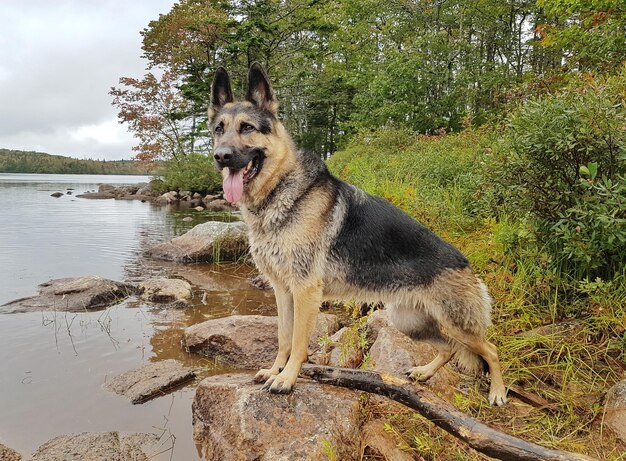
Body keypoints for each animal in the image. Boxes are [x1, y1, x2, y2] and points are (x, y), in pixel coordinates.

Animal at [210, 63, 508, 402]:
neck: (281, 190)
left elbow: (298, 343)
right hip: (409, 322)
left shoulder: (305, 291)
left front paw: (286, 379)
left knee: (491, 349)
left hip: (454, 323)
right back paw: (424, 372)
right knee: (451, 349)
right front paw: (274, 370)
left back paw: (498, 392)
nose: (221, 156)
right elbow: (283, 338)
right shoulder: (283, 291)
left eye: (247, 127)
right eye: (219, 129)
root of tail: (467, 264)